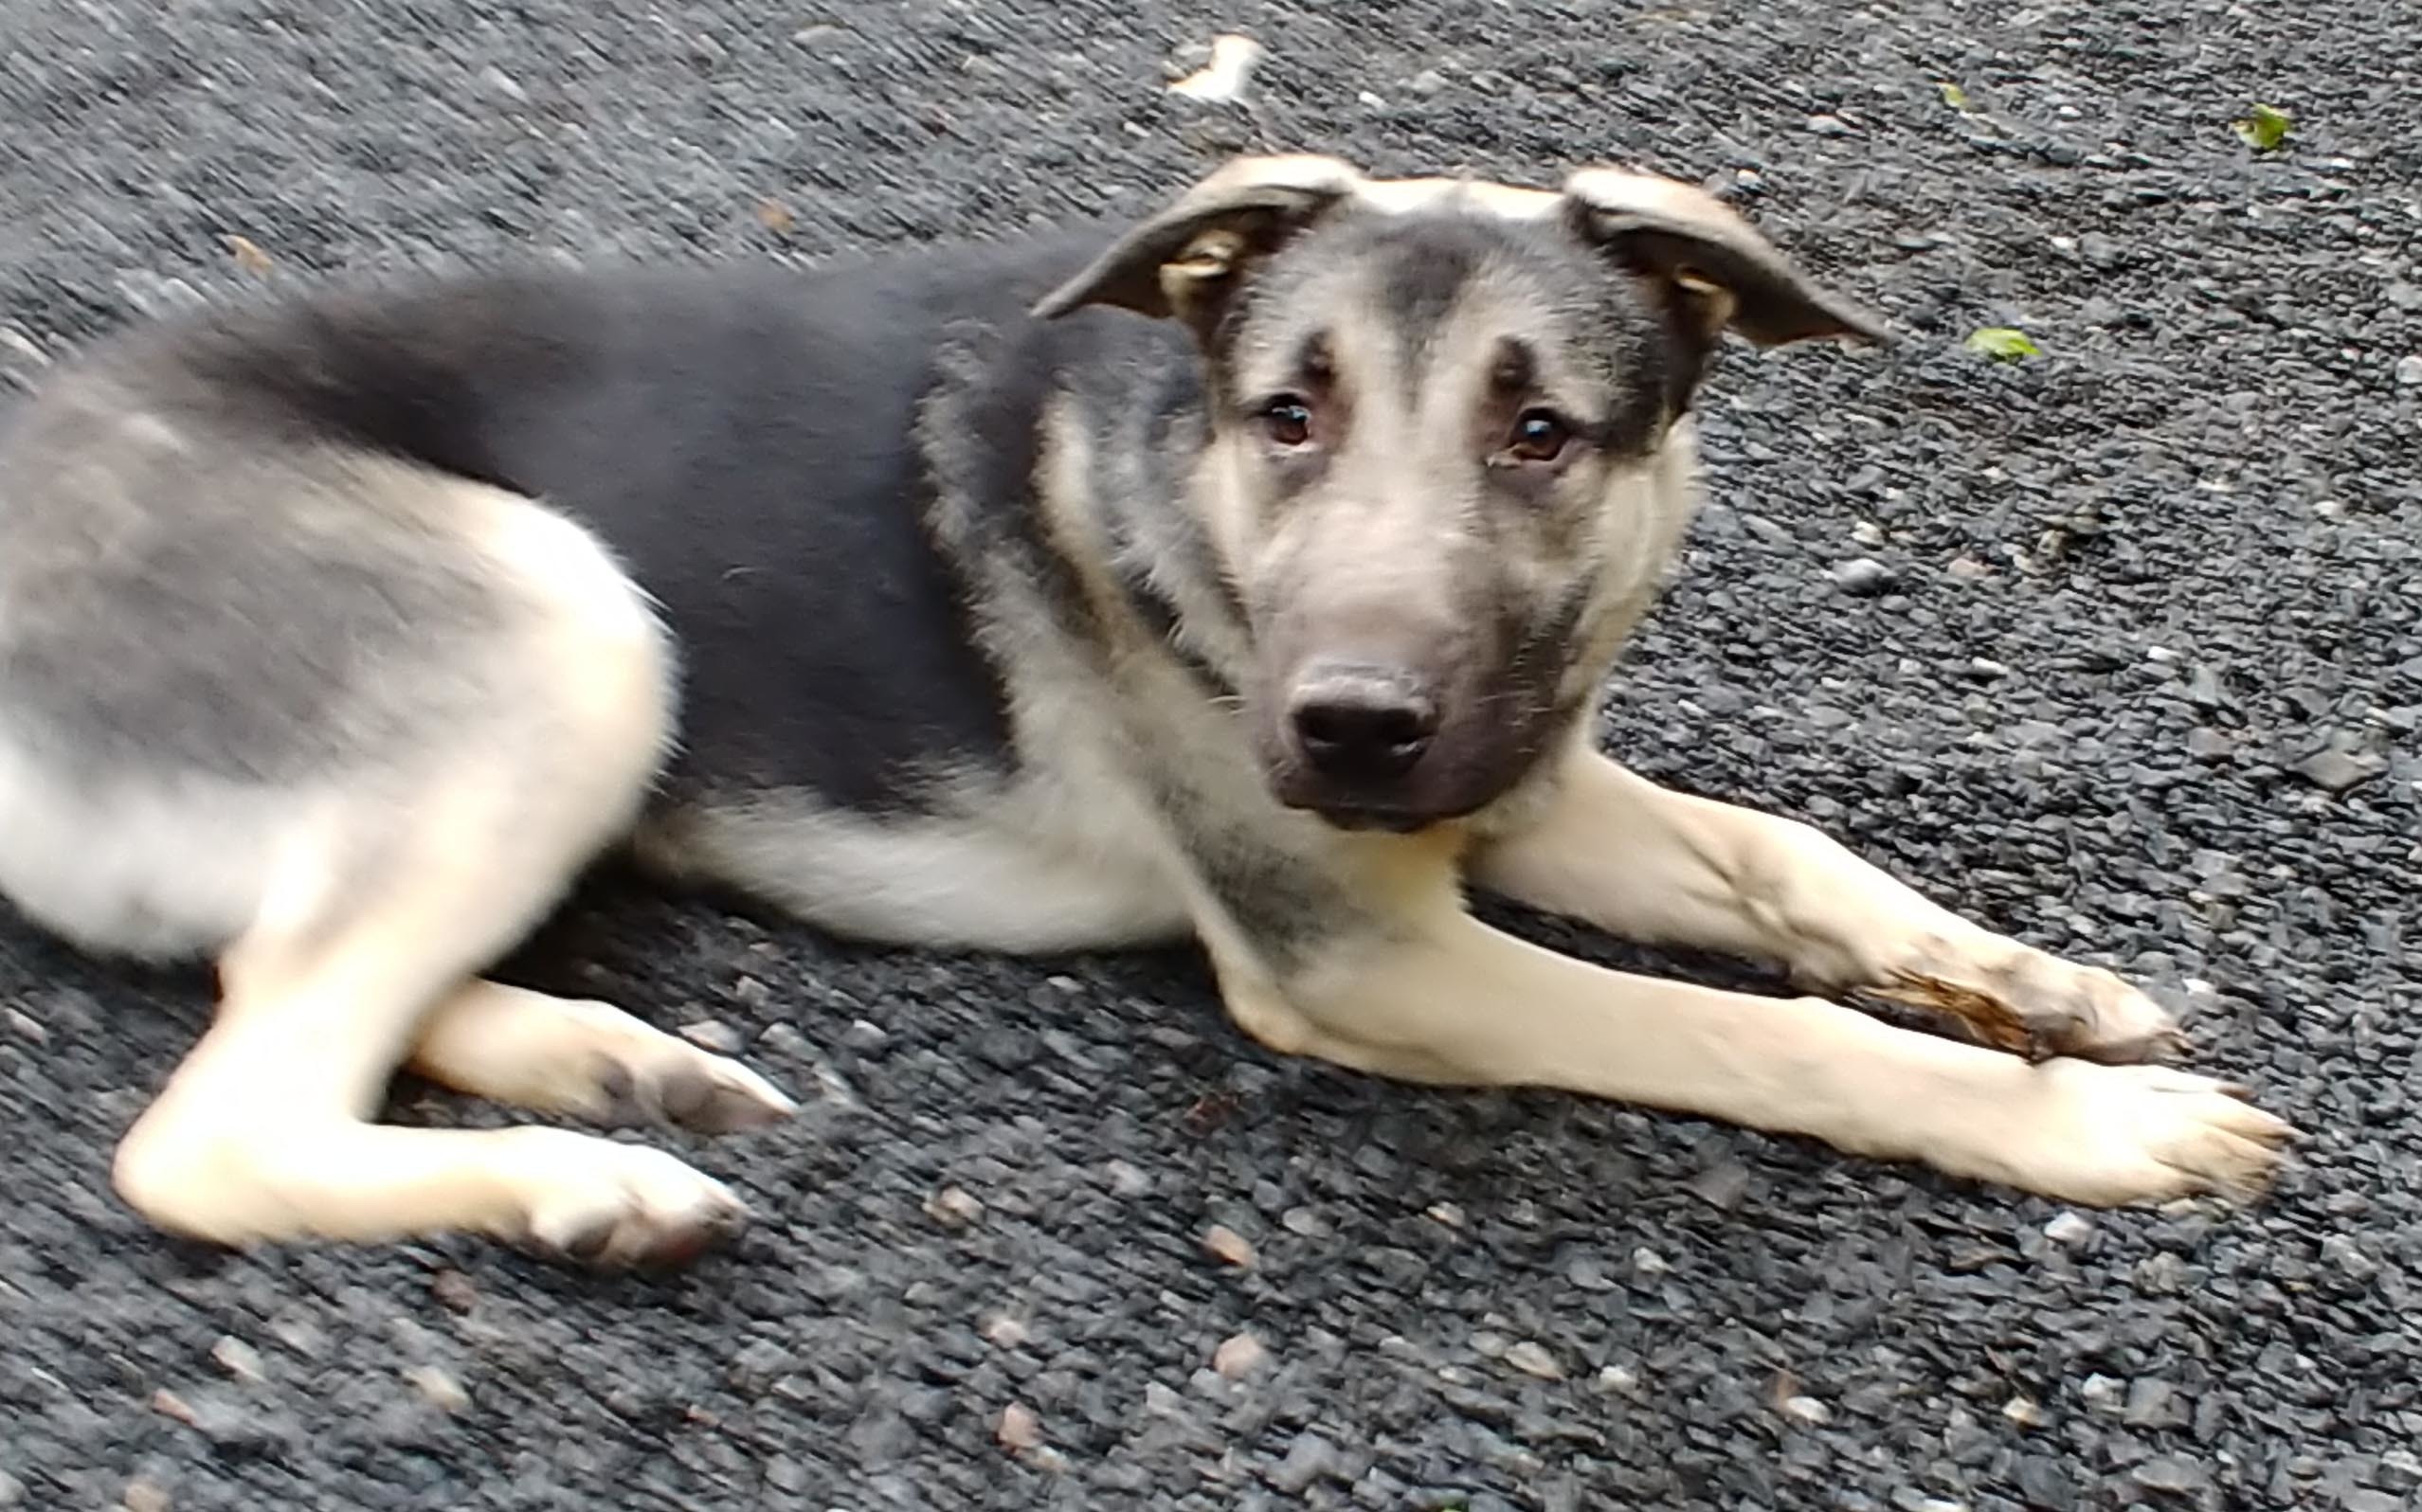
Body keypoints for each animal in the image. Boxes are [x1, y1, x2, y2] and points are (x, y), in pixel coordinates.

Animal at [0, 155, 2286, 1260]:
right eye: (1290, 416)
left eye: (1540, 433)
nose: (1347, 730)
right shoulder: (1363, 950)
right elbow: (1773, 1034)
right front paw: (2082, 1120)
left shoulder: (1522, 783)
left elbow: (1800, 863)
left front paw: (2038, 987)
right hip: (575, 618)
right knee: (213, 1127)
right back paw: (590, 1186)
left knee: (286, 986)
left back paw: (605, 1068)